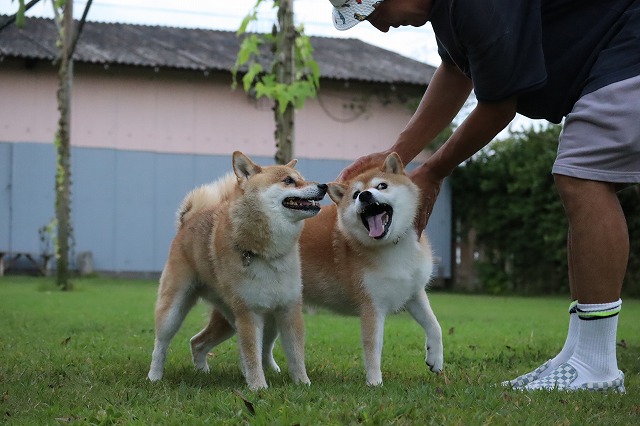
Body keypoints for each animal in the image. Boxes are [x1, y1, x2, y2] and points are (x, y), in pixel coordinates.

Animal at [147, 151, 327, 391]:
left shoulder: (289, 310)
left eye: (302, 178)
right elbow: (252, 355)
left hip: (246, 319)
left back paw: (204, 372)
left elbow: (296, 356)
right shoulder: (248, 313)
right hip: (175, 310)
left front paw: (303, 384)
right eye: (288, 180)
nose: (324, 186)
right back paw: (154, 376)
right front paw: (258, 387)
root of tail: (187, 221)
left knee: (198, 343)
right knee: (162, 343)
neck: (268, 254)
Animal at [298, 152, 444, 386]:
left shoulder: (412, 292)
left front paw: (435, 358)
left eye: (382, 185)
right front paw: (375, 382)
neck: (393, 246)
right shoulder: (372, 305)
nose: (365, 195)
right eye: (355, 194)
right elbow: (373, 346)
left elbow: (434, 325)